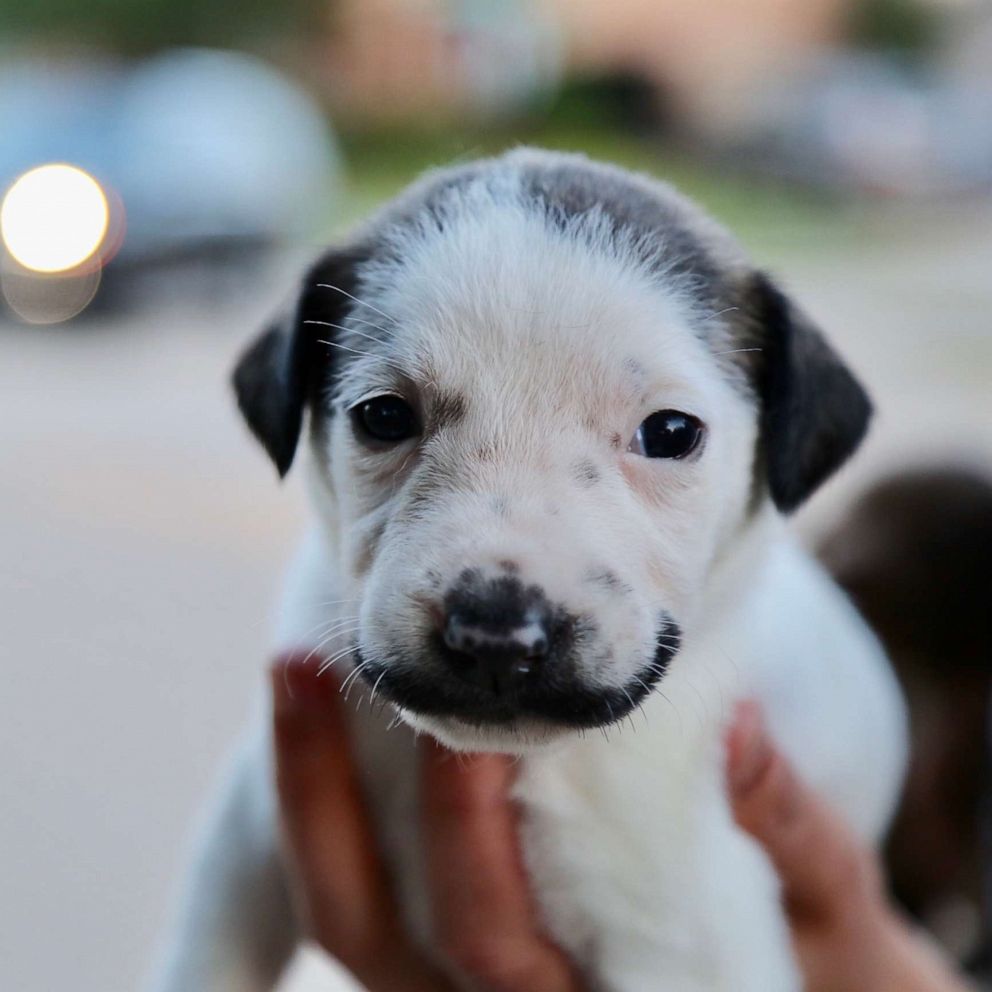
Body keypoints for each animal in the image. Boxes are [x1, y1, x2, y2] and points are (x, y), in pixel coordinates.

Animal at [149, 149, 908, 992]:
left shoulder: (683, 942)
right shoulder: (248, 828)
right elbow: (206, 957)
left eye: (671, 432)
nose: (495, 637)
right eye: (383, 416)